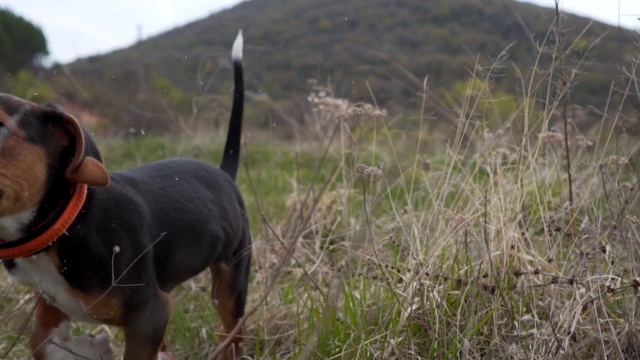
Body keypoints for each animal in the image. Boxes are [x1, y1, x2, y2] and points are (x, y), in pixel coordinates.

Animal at [0, 31, 251, 360]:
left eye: (1, 126)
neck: (65, 224)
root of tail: (224, 174)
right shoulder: (56, 300)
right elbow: (40, 339)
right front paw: (85, 348)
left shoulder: (150, 314)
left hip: (231, 282)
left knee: (232, 335)